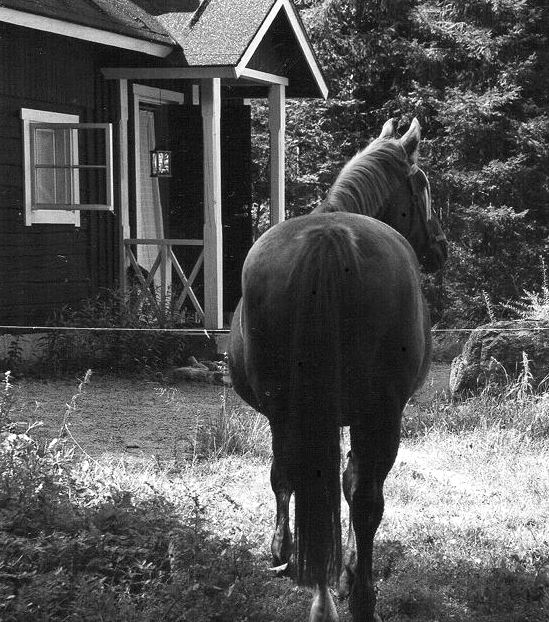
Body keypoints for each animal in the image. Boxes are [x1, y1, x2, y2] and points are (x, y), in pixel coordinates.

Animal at [227, 118, 446, 622]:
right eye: (423, 185)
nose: (441, 246)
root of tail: (327, 240)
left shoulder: (282, 414)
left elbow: (292, 477)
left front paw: (288, 554)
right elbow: (353, 486)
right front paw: (345, 573)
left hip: (295, 410)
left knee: (306, 478)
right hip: (378, 415)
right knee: (364, 500)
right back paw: (359, 596)